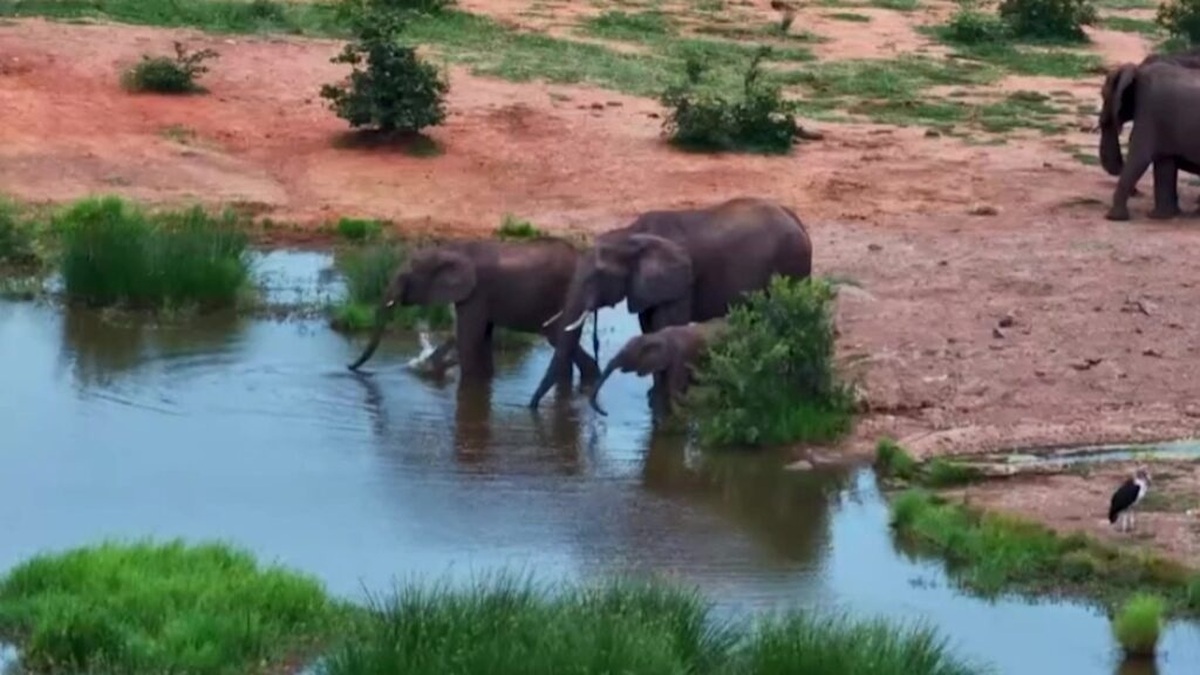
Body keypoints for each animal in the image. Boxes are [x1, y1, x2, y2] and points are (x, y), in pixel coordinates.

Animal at [350, 236, 604, 384]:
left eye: (405, 278)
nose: (349, 367)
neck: (450, 250)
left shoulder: (476, 293)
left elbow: (469, 341)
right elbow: (481, 339)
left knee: (556, 338)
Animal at [1099, 49, 1200, 212]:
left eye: (1103, 95)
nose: (1137, 193)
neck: (1138, 70)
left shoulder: (1149, 109)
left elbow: (1140, 157)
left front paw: (1114, 216)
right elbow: (1163, 160)